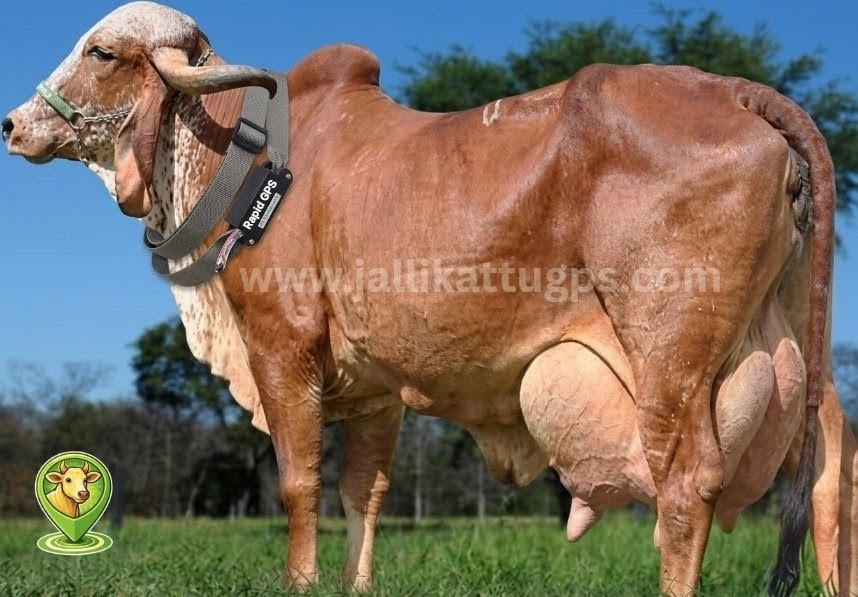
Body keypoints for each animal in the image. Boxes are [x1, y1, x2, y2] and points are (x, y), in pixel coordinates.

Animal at [3, 2, 855, 595]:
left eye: (101, 51)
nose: (13, 123)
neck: (249, 159)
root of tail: (734, 90)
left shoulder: (282, 344)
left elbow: (299, 479)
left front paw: (301, 581)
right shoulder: (378, 386)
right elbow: (365, 490)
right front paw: (354, 582)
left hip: (671, 352)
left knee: (686, 484)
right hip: (794, 346)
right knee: (828, 467)